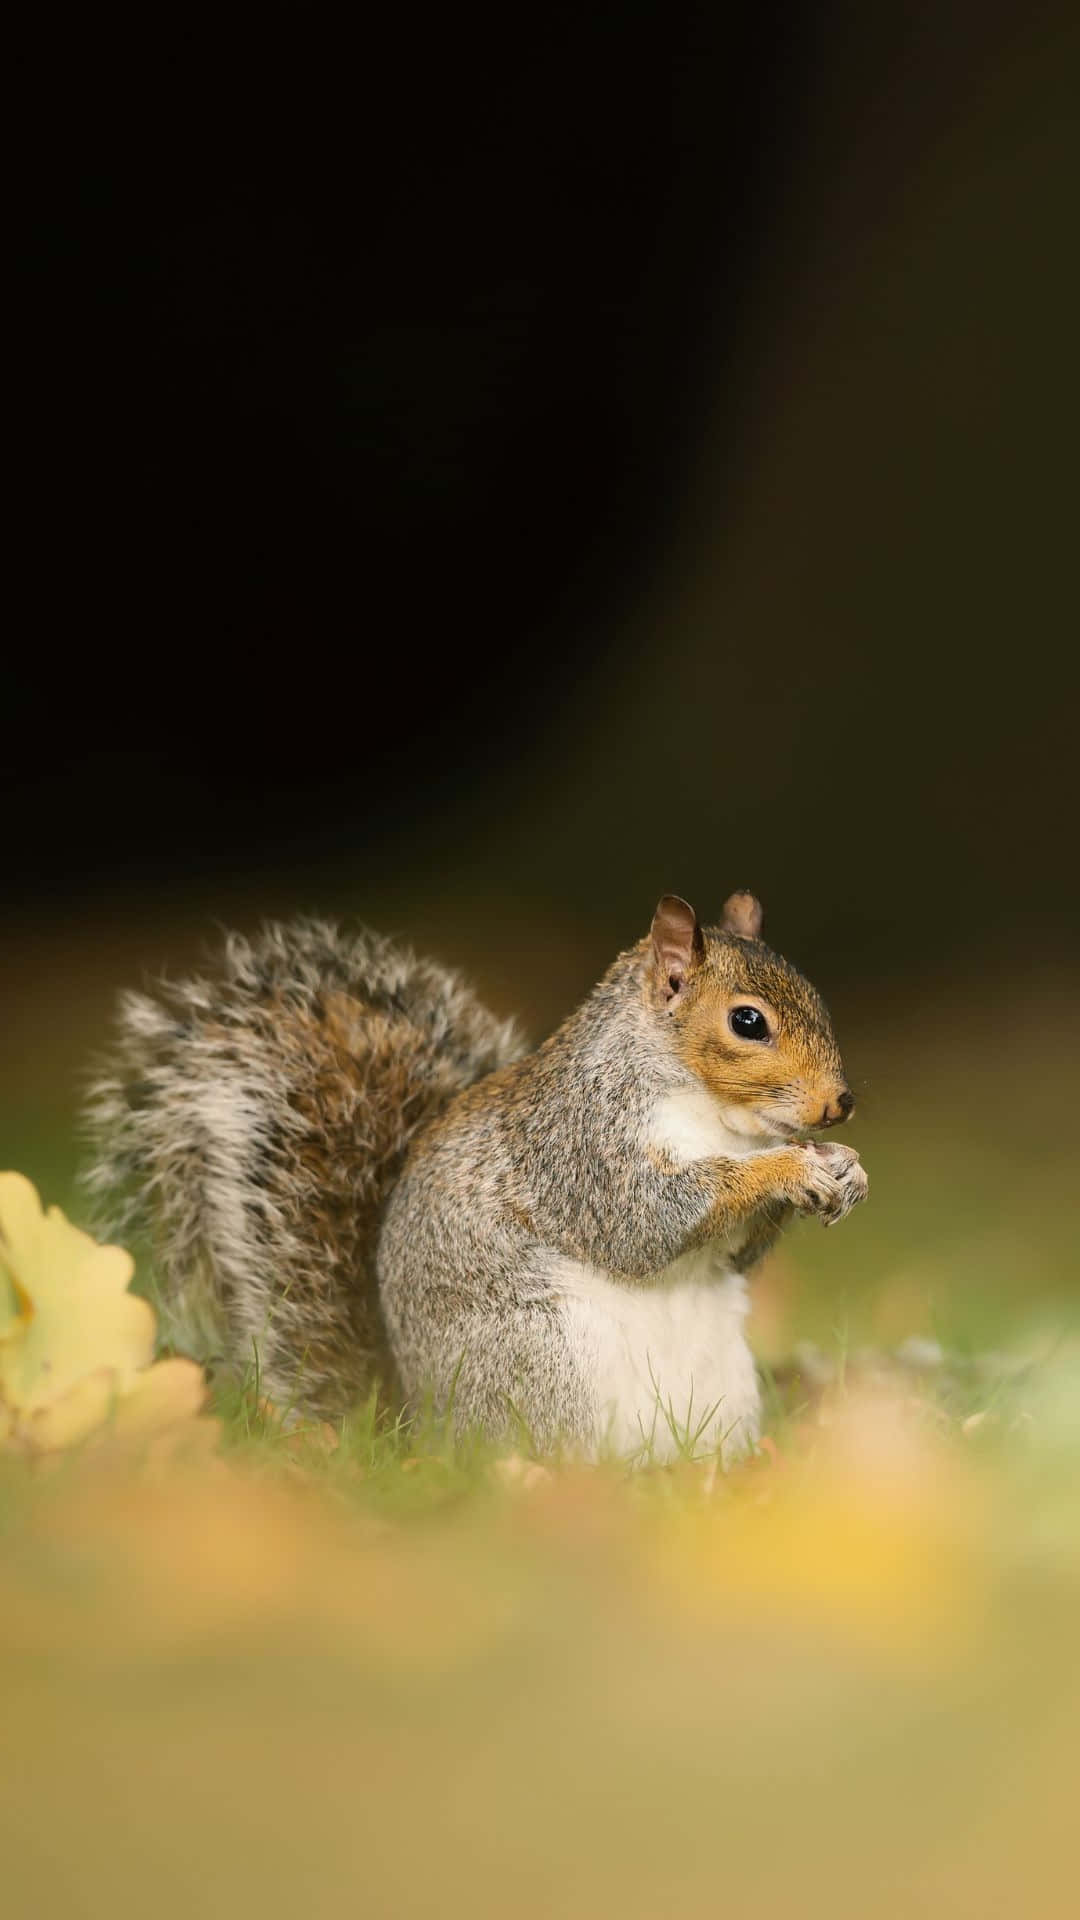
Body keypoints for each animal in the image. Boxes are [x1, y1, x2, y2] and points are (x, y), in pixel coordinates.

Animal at [82, 891, 867, 1463]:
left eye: (816, 996)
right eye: (748, 1022)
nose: (839, 1104)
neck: (719, 1116)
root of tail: (419, 1428)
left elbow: (735, 1252)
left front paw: (846, 1170)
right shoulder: (580, 1147)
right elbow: (646, 1221)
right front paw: (788, 1168)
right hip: (543, 1366)